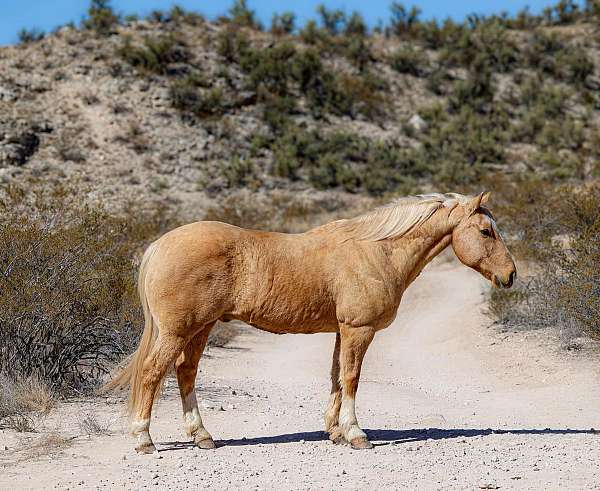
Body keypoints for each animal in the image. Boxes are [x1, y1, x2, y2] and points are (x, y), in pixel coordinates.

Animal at [104, 192, 516, 454]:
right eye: (485, 232)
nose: (510, 275)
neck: (376, 251)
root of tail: (159, 245)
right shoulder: (358, 330)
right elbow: (352, 378)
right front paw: (356, 434)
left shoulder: (341, 331)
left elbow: (336, 377)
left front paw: (335, 432)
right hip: (179, 330)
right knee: (152, 373)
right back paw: (144, 439)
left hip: (201, 328)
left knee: (185, 372)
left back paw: (202, 436)